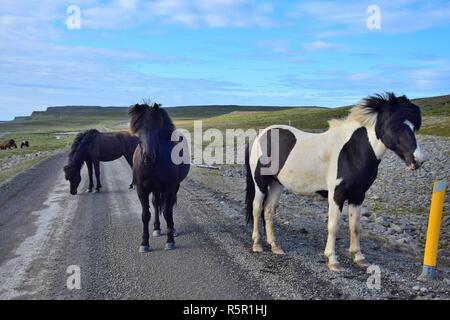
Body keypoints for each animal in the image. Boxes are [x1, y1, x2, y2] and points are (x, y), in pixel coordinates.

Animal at [131, 102, 191, 252]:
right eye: (139, 130)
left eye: (156, 129)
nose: (148, 156)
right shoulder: (141, 189)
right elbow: (145, 215)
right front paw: (144, 243)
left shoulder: (169, 187)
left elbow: (167, 213)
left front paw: (170, 241)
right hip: (155, 189)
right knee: (156, 203)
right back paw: (157, 228)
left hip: (174, 186)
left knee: (167, 206)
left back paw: (172, 229)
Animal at [244, 92, 424, 270]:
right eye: (394, 126)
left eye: (414, 127)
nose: (418, 160)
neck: (353, 151)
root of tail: (262, 135)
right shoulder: (337, 195)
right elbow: (333, 226)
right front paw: (332, 259)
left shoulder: (358, 195)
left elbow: (355, 226)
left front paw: (358, 257)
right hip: (260, 182)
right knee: (257, 208)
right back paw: (257, 244)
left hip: (277, 183)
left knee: (268, 210)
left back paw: (275, 246)